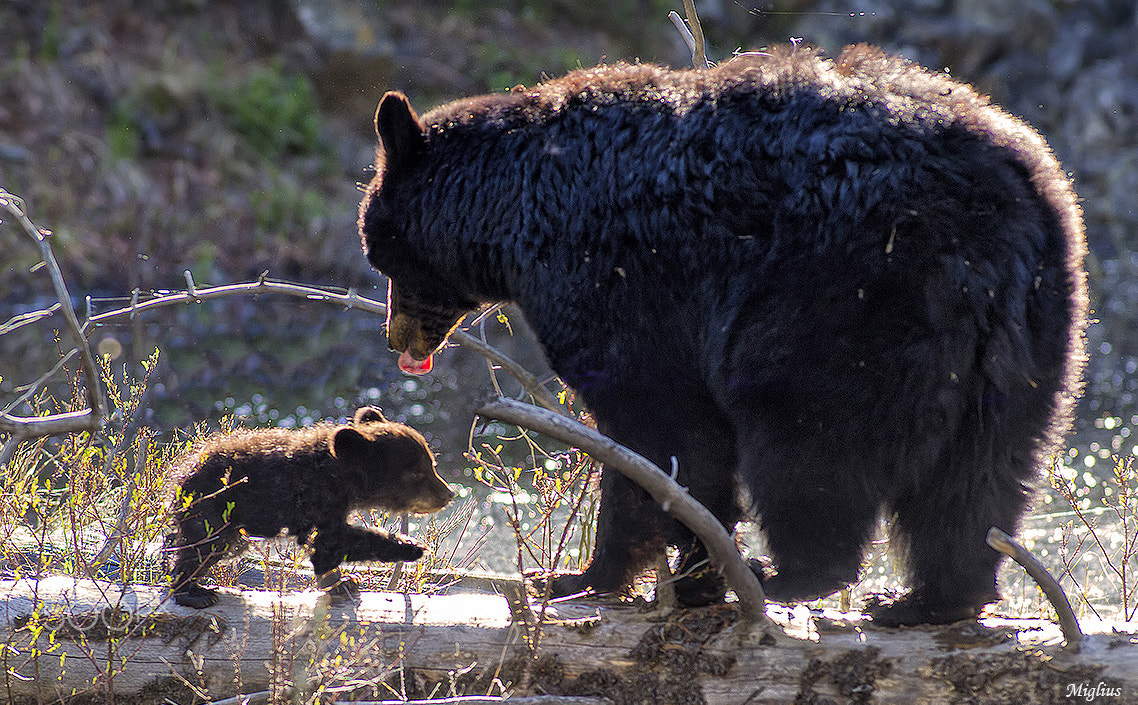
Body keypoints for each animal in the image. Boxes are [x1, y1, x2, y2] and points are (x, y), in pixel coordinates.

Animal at [166, 404, 450, 609]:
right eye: (416, 472)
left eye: (431, 462)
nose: (447, 494)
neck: (338, 476)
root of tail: (182, 473)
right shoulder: (316, 499)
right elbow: (333, 540)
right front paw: (410, 546)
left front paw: (345, 580)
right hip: (213, 508)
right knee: (203, 545)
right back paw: (193, 592)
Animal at [359, 44, 1087, 623]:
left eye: (379, 252)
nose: (395, 338)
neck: (510, 210)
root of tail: (996, 224)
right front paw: (670, 573)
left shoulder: (609, 282)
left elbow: (661, 427)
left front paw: (588, 575)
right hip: (1030, 333)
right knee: (981, 471)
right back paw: (927, 601)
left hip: (840, 302)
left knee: (806, 431)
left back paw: (788, 574)